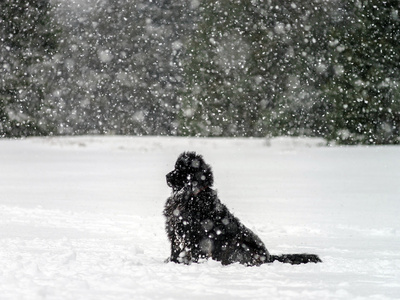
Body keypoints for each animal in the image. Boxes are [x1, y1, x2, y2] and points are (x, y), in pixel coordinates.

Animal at [162, 152, 322, 264]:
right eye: (175, 167)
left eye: (181, 170)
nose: (167, 176)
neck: (192, 195)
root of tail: (269, 256)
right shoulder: (176, 233)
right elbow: (175, 251)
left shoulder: (194, 234)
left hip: (238, 246)